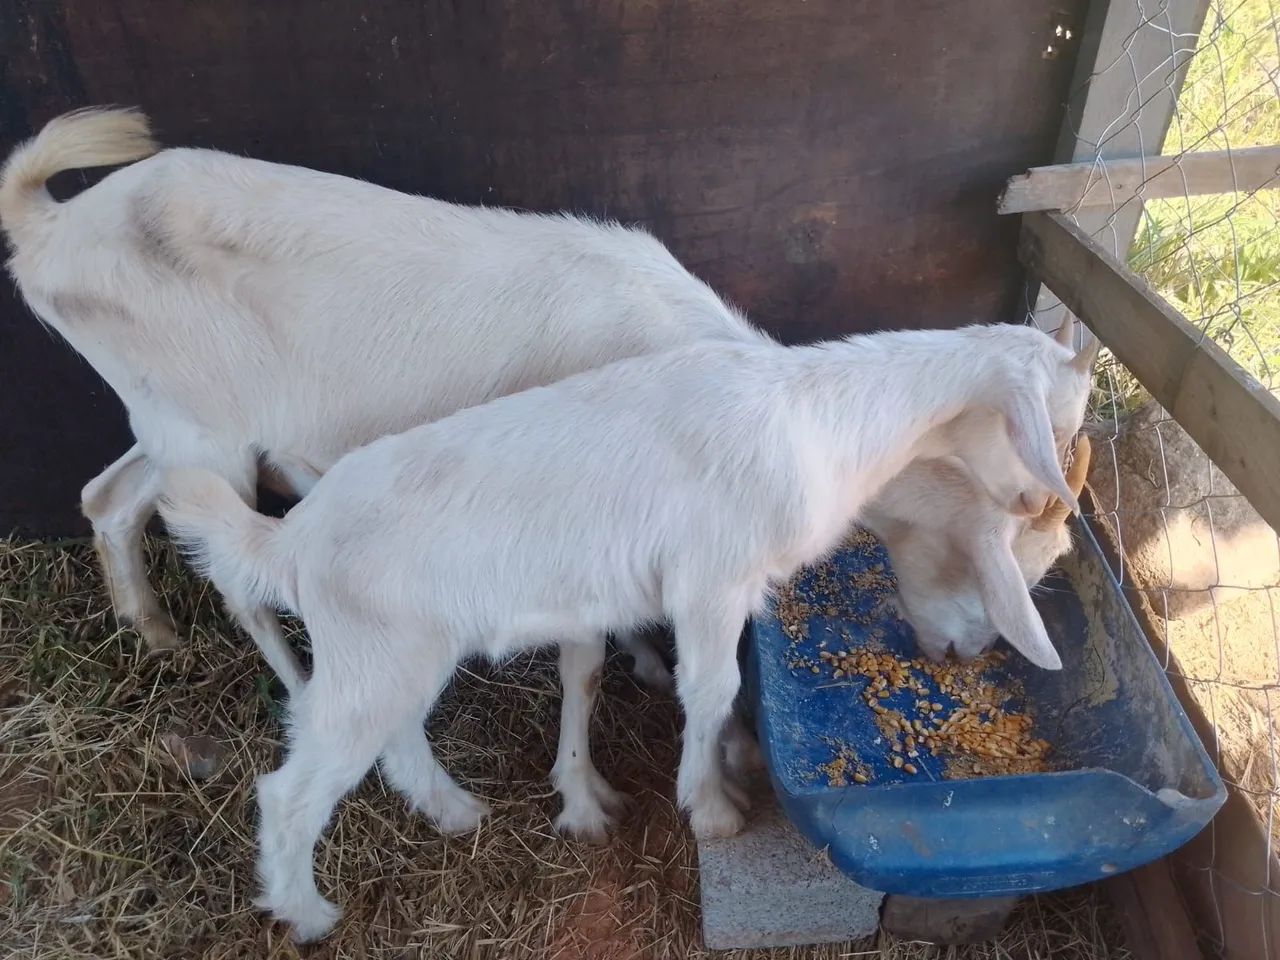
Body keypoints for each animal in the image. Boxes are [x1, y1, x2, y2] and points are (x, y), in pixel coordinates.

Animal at [157, 323, 1090, 940]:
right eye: (1055, 421)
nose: (1037, 497)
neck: (814, 419)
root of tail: (290, 538)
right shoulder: (710, 579)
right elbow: (709, 688)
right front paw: (712, 807)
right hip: (375, 658)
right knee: (291, 790)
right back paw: (309, 913)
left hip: (395, 654)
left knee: (396, 740)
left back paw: (456, 811)